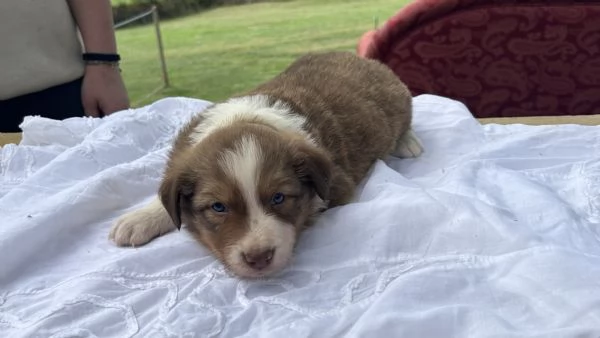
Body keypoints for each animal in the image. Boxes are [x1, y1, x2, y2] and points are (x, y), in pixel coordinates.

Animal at [110, 51, 424, 278]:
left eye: (278, 198)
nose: (258, 258)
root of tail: (360, 58)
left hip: (398, 98)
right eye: (218, 207)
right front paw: (139, 219)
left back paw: (408, 143)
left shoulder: (337, 183)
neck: (243, 119)